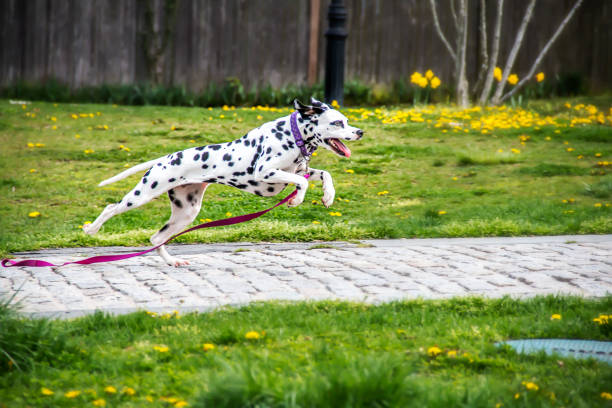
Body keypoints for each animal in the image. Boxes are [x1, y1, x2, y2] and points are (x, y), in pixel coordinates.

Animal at [82, 97, 364, 266]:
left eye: (347, 121)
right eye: (338, 123)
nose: (360, 131)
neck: (292, 136)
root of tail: (166, 158)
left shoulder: (298, 169)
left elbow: (323, 174)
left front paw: (328, 195)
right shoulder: (264, 172)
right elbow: (301, 182)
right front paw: (297, 200)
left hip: (187, 212)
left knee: (155, 238)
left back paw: (172, 261)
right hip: (143, 195)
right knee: (111, 208)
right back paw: (91, 229)